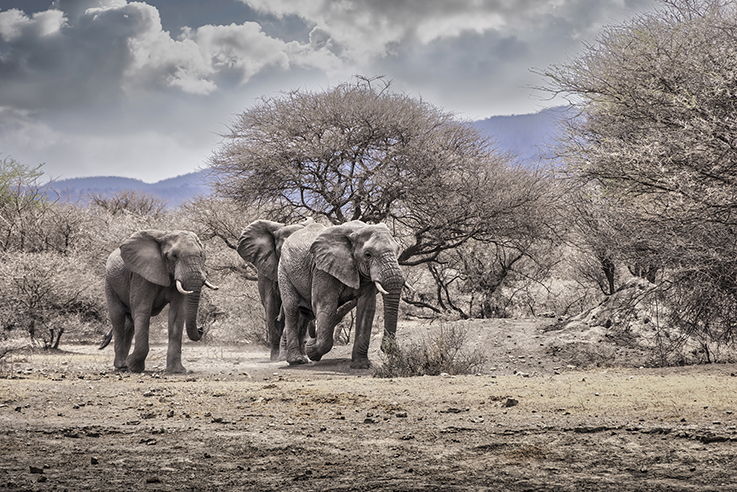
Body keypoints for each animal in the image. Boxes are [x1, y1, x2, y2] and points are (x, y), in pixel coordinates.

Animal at [104, 230, 218, 373]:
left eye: (201, 255)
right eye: (174, 256)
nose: (201, 328)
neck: (165, 235)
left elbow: (177, 314)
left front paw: (176, 371)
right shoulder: (141, 275)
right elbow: (142, 310)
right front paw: (134, 366)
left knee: (129, 322)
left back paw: (124, 365)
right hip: (110, 283)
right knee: (118, 317)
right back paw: (121, 365)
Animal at [278, 220, 406, 369]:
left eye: (397, 250)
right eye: (368, 254)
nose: (388, 348)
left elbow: (367, 308)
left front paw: (361, 365)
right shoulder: (322, 270)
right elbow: (326, 307)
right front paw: (312, 349)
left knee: (305, 314)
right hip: (283, 271)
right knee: (292, 309)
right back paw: (297, 360)